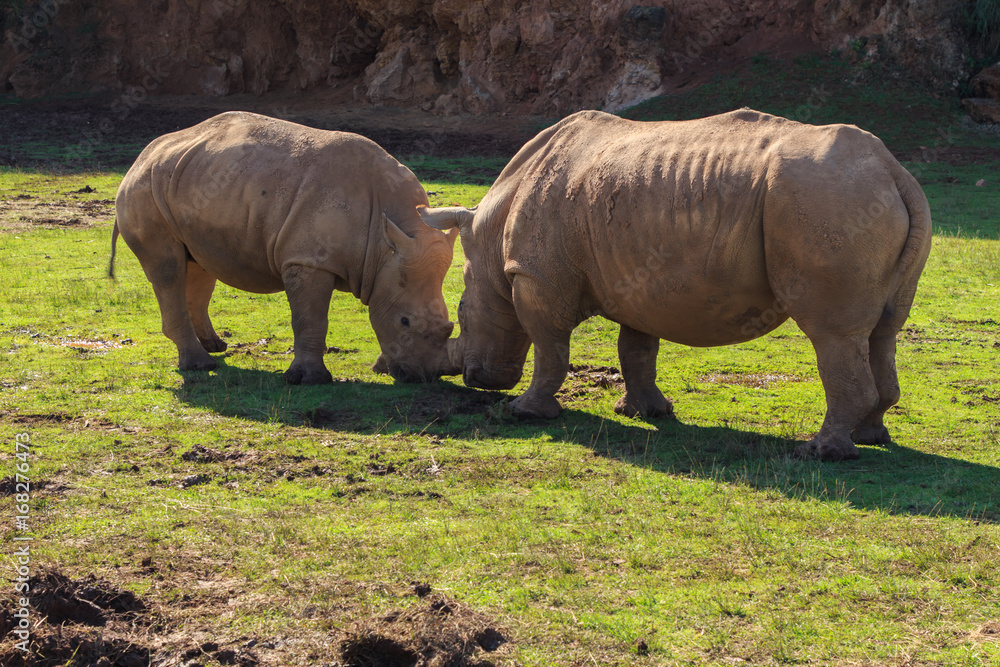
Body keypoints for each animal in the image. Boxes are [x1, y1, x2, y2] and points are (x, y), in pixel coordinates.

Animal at [112, 111, 458, 383]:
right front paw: (309, 380)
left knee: (198, 265)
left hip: (186, 181)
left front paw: (382, 368)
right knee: (168, 270)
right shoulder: (307, 260)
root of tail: (143, 155)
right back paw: (201, 365)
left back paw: (215, 346)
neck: (384, 245)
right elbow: (310, 317)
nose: (425, 376)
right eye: (405, 321)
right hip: (145, 187)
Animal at [421, 109, 932, 461]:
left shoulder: (535, 275)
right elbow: (637, 348)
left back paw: (822, 453)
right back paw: (872, 437)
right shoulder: (636, 279)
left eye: (462, 313)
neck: (490, 237)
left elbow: (550, 345)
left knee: (833, 335)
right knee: (883, 331)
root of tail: (893, 170)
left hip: (828, 201)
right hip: (856, 199)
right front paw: (644, 412)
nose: (477, 379)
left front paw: (525, 412)